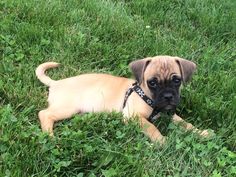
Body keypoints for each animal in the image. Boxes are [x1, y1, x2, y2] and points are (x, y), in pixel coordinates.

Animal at [36, 56, 209, 145]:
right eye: (152, 83)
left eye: (177, 80)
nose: (168, 96)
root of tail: (56, 83)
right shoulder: (133, 116)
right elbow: (151, 126)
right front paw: (161, 140)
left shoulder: (169, 114)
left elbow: (185, 123)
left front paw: (201, 132)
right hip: (68, 108)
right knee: (44, 114)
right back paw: (50, 137)